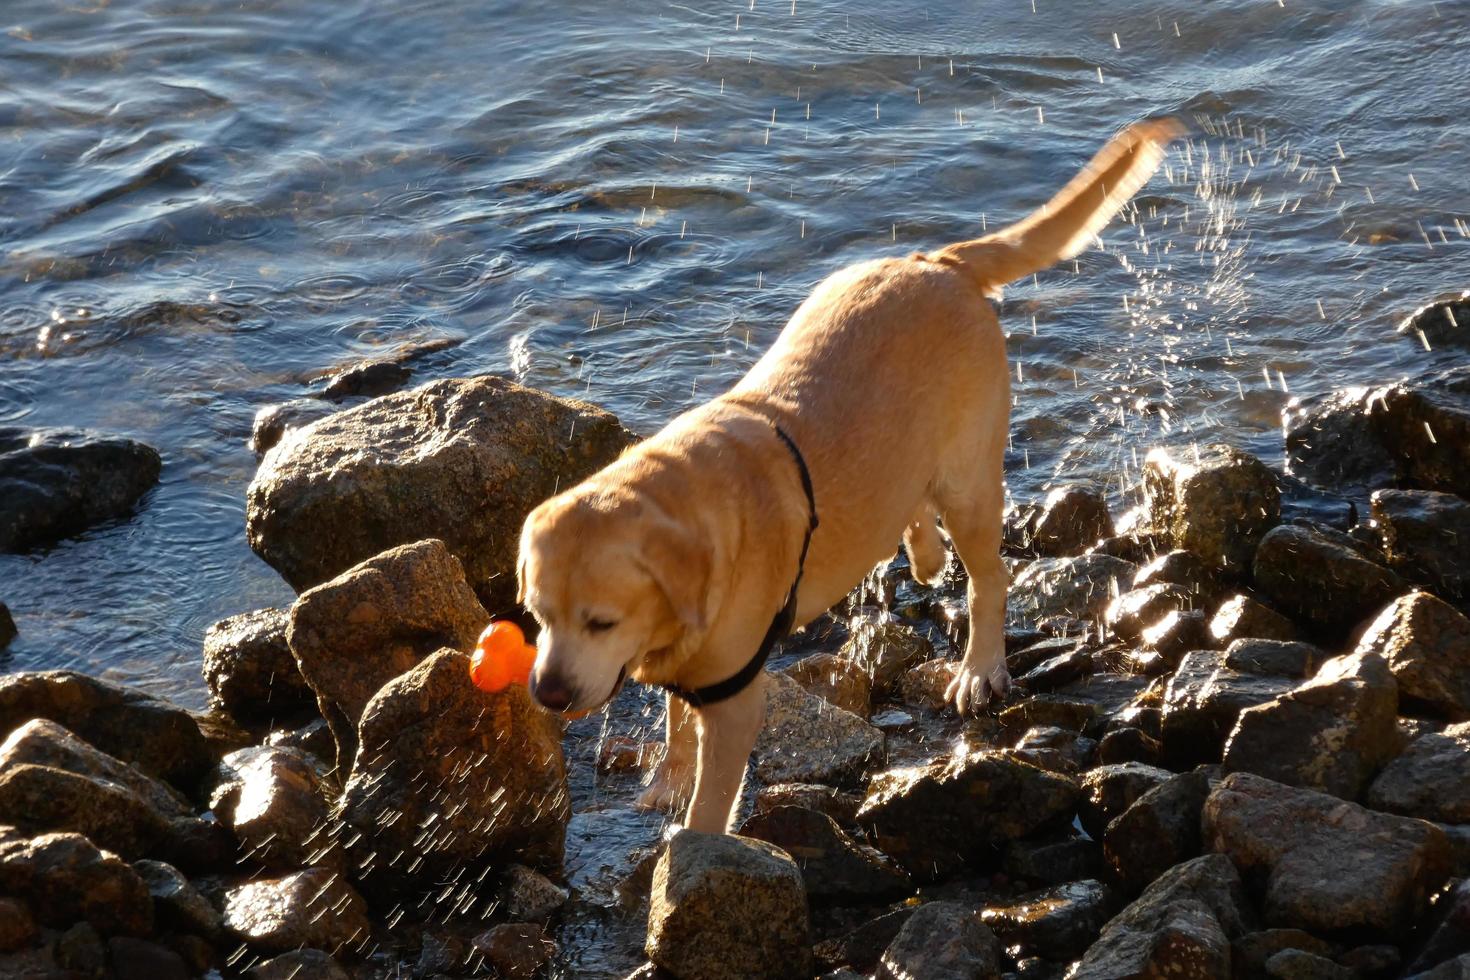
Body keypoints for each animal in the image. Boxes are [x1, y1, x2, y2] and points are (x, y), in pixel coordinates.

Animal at [517, 119, 1181, 834]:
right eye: (536, 615)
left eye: (601, 623)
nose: (547, 694)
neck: (684, 495)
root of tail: (938, 263)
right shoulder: (688, 665)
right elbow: (676, 725)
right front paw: (667, 781)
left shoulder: (733, 694)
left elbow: (708, 801)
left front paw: (686, 844)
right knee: (908, 500)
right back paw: (923, 554)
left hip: (970, 480)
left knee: (989, 579)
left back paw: (979, 668)